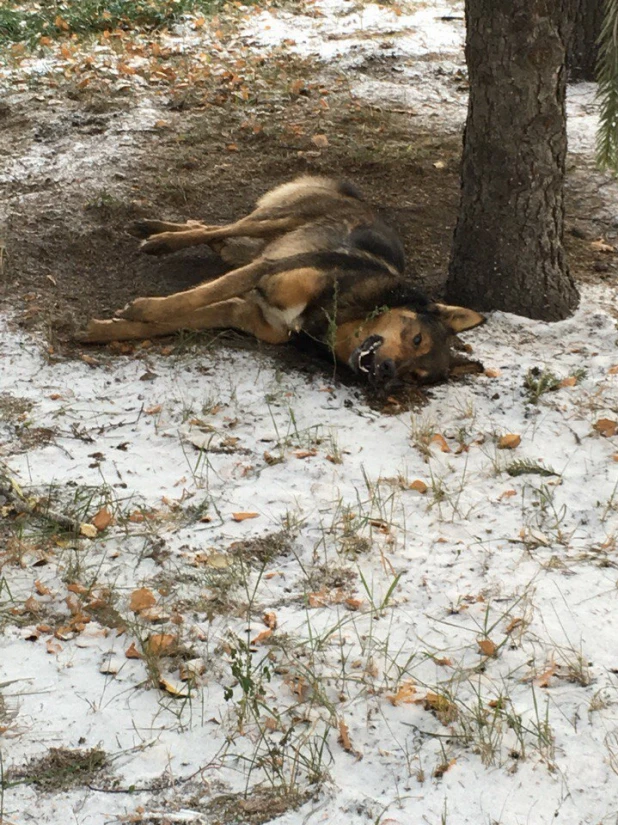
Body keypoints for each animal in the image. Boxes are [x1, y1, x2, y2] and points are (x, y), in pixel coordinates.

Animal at [82, 175, 484, 384]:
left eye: (414, 376)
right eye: (416, 338)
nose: (386, 373)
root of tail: (360, 200)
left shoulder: (238, 311)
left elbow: (173, 320)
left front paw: (99, 330)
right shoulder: (266, 272)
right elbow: (185, 300)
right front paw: (141, 309)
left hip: (254, 248)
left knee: (216, 237)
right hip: (277, 221)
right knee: (221, 227)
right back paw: (157, 236)